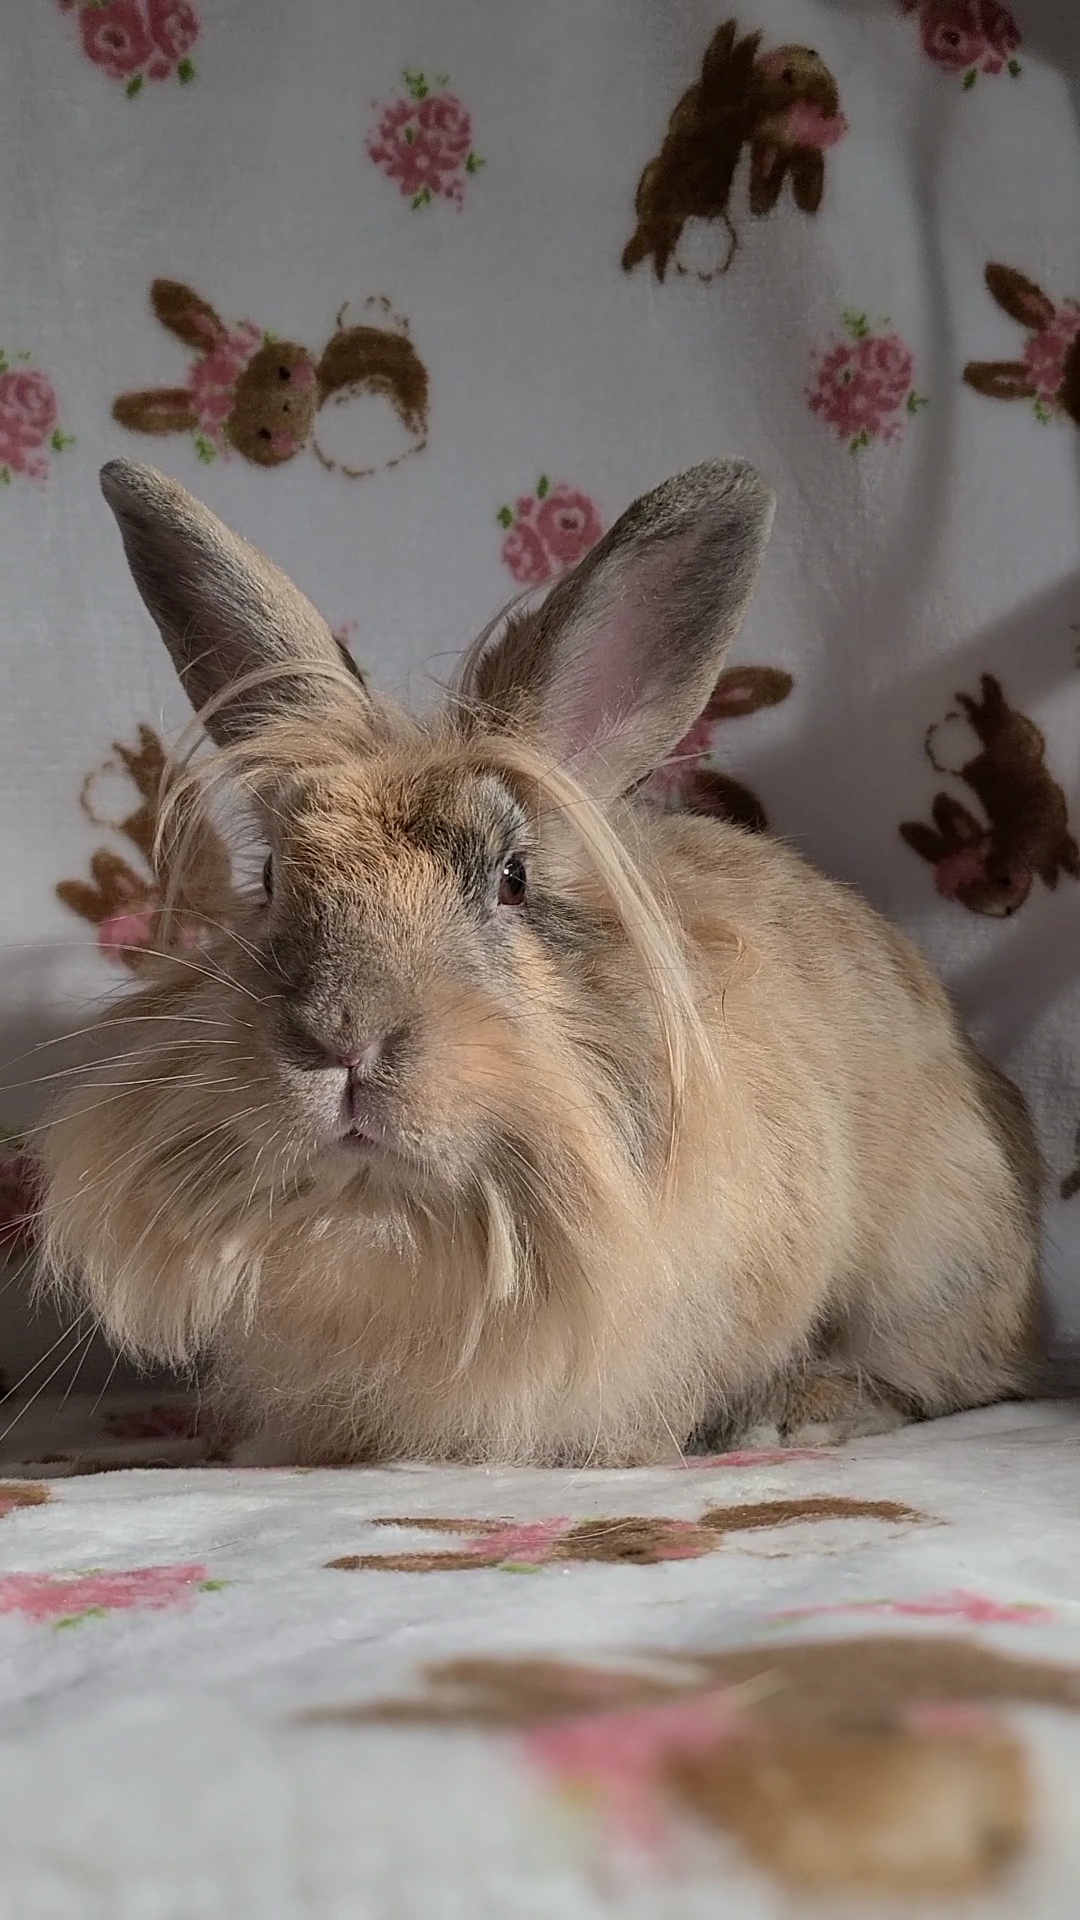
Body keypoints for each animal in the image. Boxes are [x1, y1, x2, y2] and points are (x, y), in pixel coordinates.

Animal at [40, 458, 1042, 1468]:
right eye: (274, 878)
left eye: (512, 880)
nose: (343, 1041)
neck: (388, 1225)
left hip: (933, 1263)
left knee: (951, 1375)